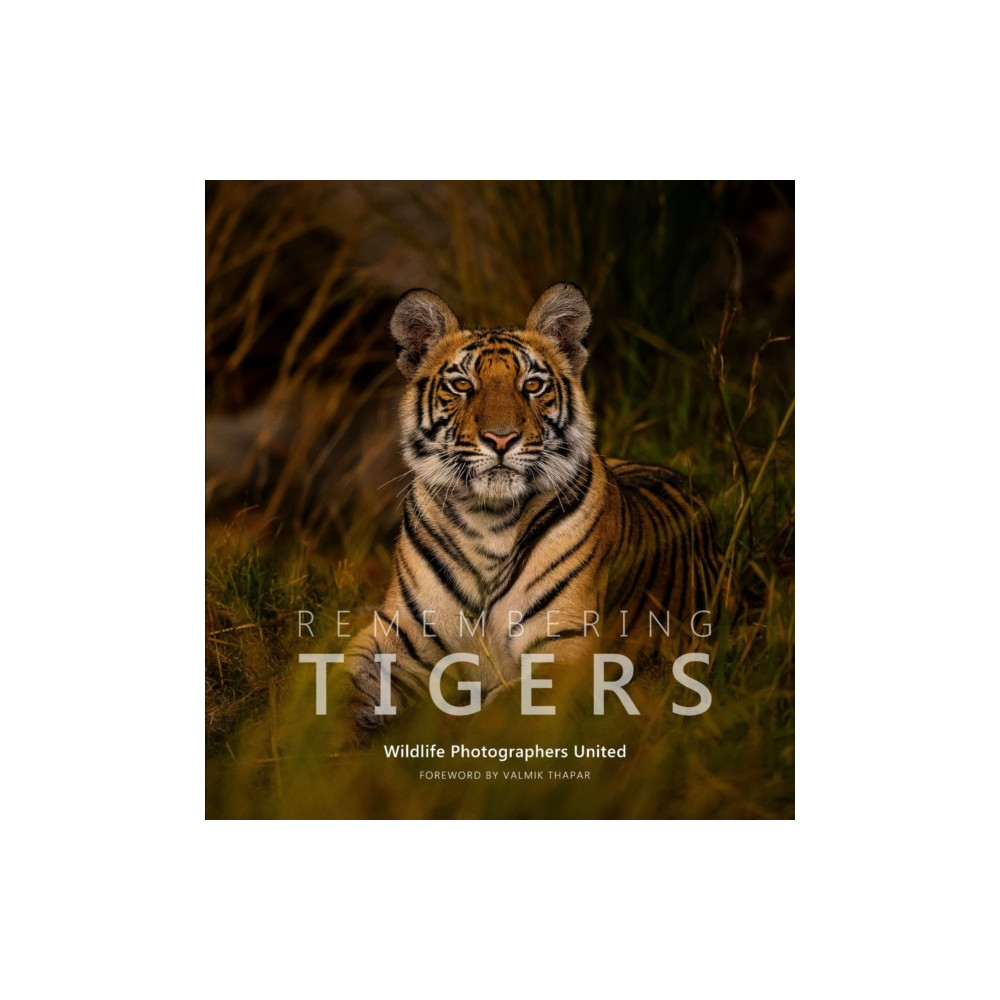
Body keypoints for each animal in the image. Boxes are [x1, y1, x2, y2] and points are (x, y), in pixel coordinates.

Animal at [343, 282, 725, 735]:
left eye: (533, 385)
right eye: (462, 385)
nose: (501, 438)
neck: (486, 519)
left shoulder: (563, 650)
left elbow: (495, 717)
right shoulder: (396, 636)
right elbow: (343, 686)